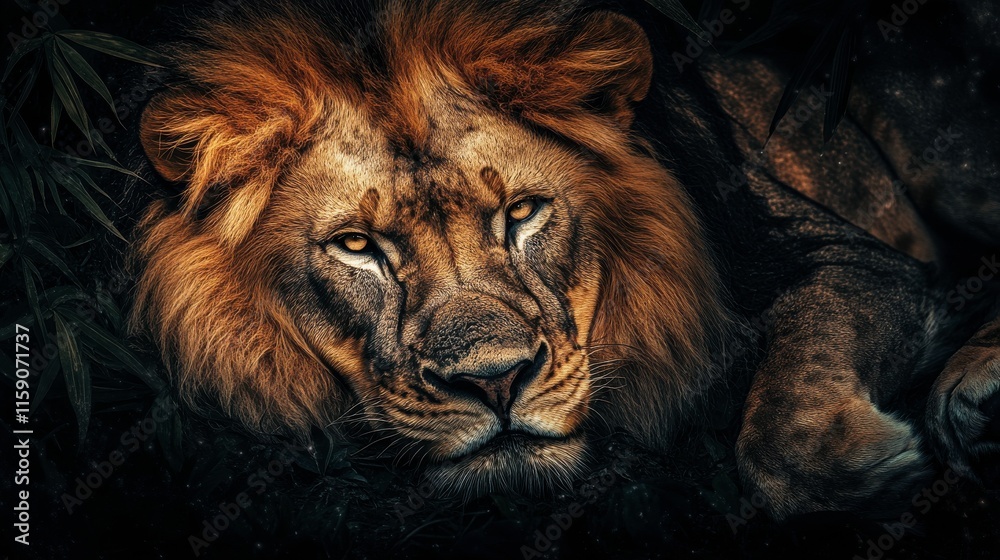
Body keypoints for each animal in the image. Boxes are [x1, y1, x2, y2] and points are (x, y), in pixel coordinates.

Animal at [130, 0, 1000, 519]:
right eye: (358, 247)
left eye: (522, 213)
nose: (494, 383)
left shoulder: (839, 252)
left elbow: (787, 413)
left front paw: (869, 466)